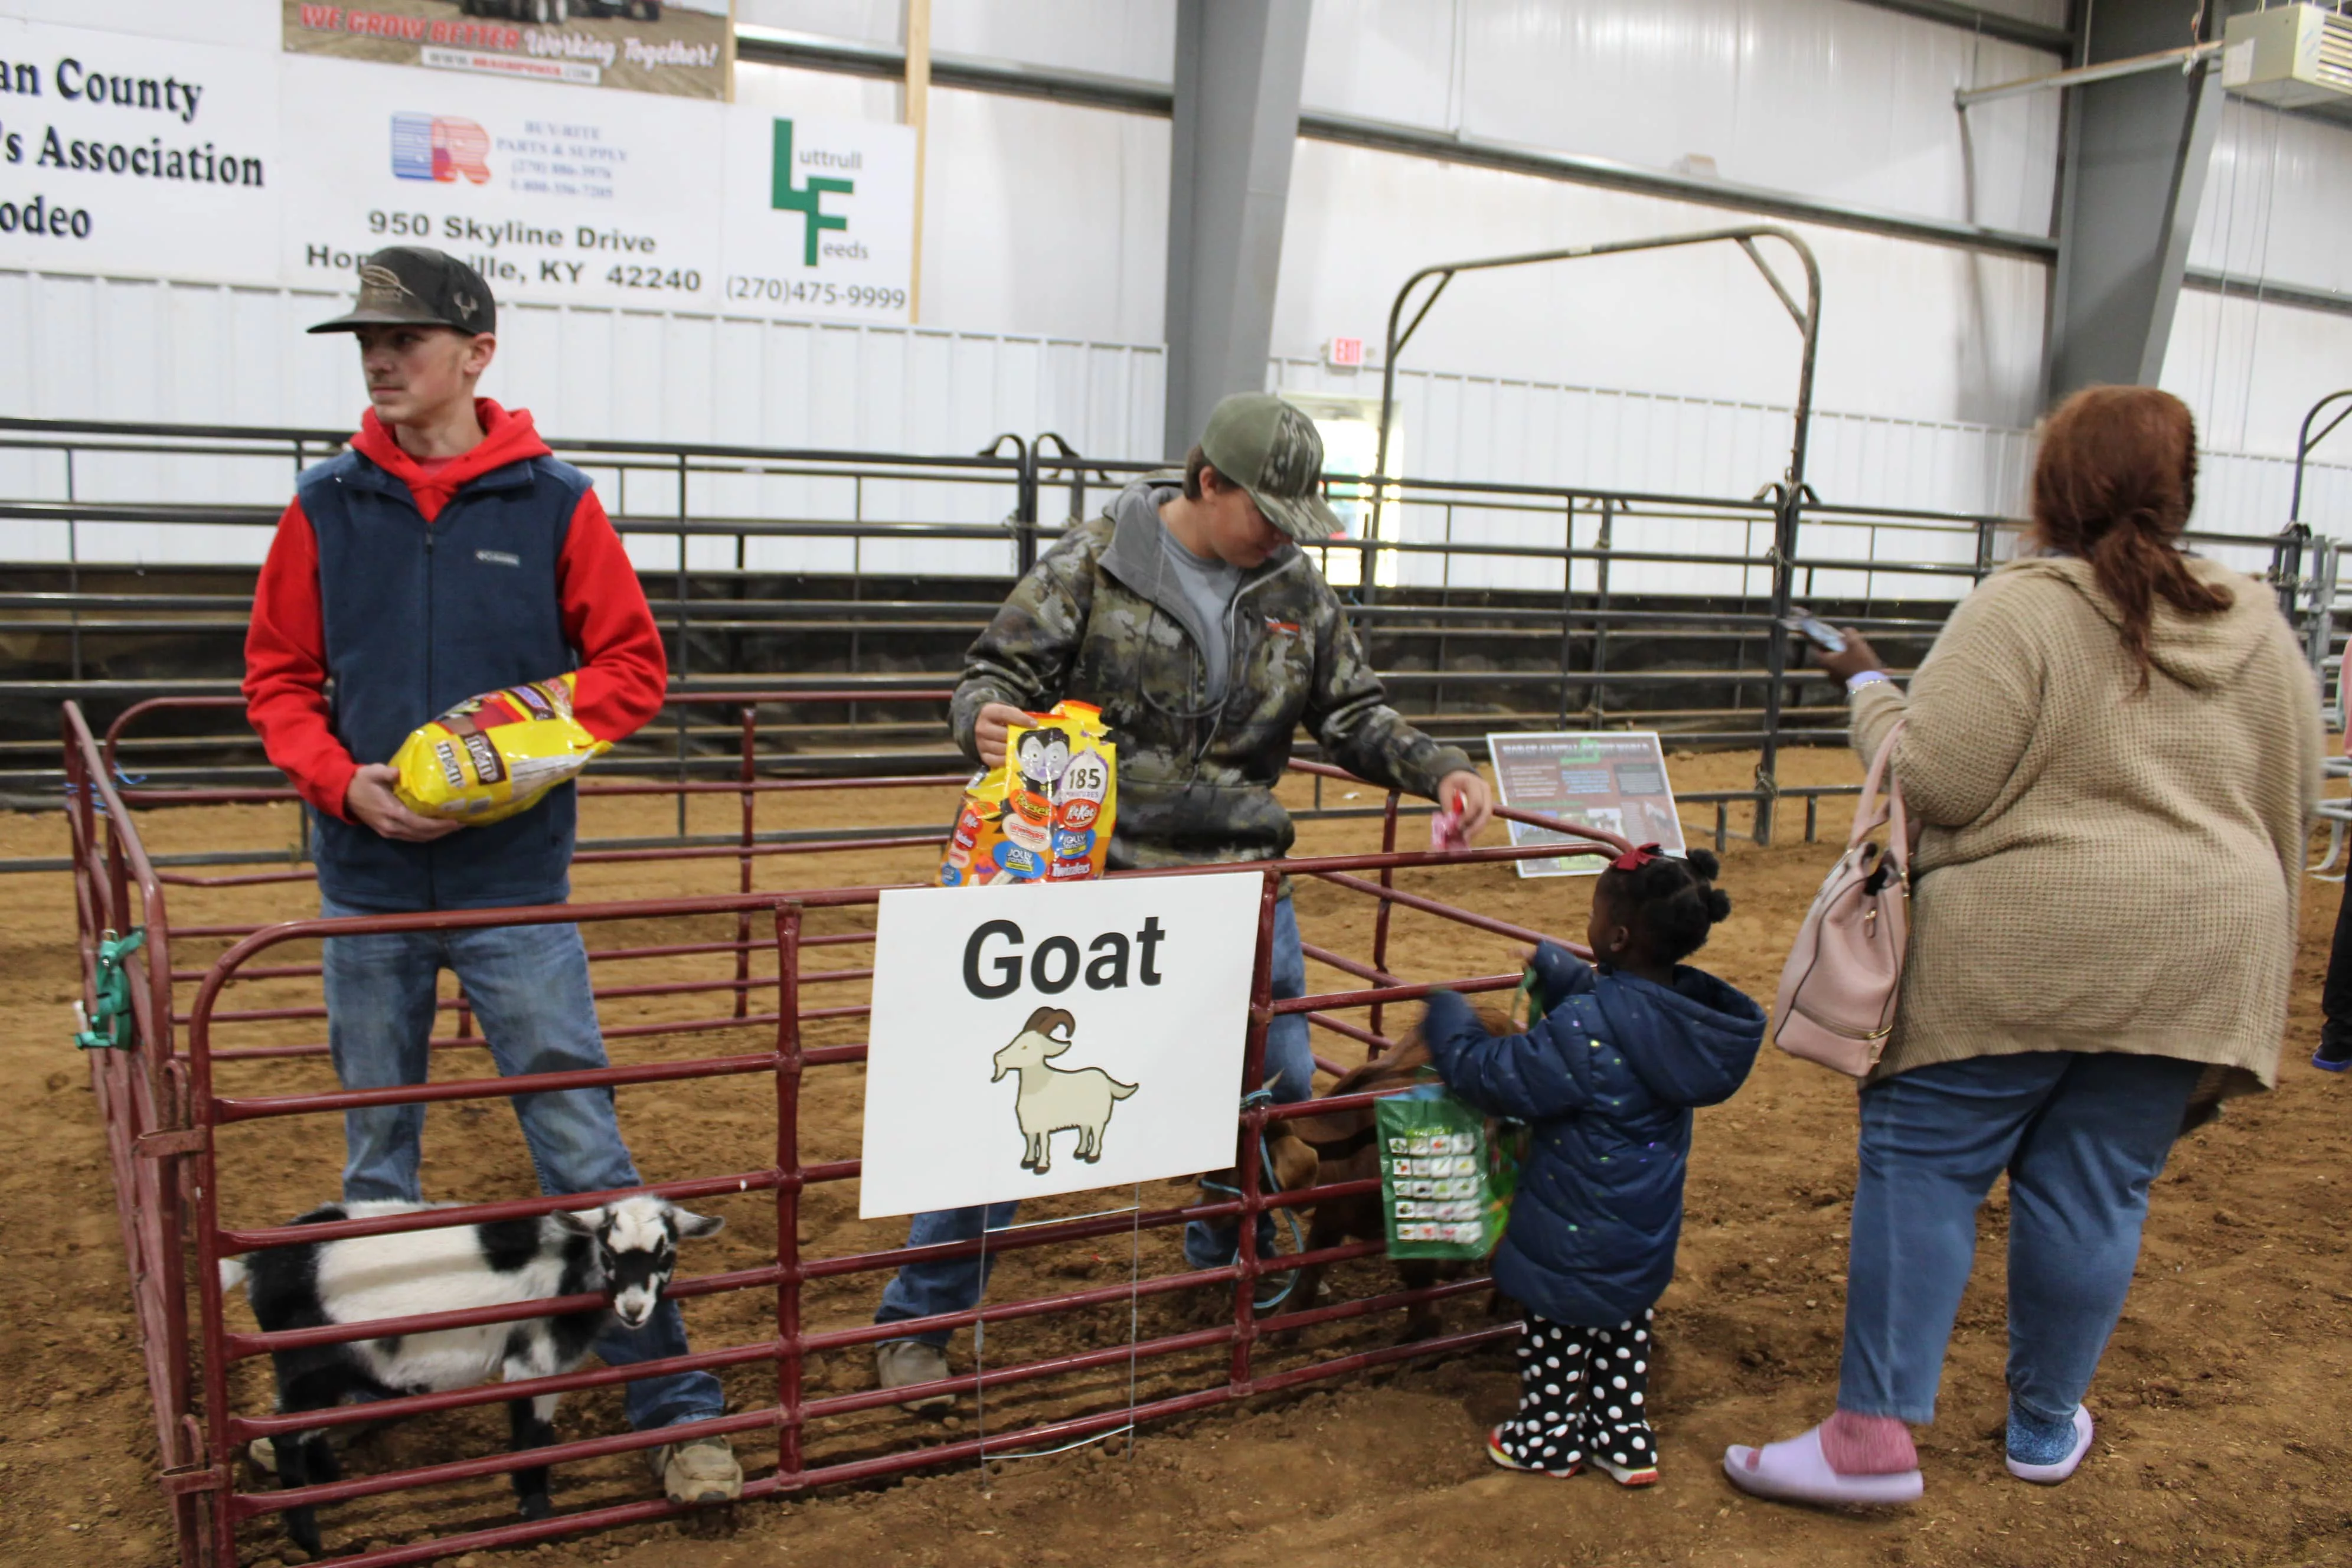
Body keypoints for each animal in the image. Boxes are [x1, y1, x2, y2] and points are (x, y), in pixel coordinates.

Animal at [221, 1194, 720, 1551]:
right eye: (609, 1253)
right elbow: (532, 1439)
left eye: (666, 1254)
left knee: (306, 1429)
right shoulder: (536, 1361)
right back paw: (308, 1537)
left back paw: (331, 1487)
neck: (570, 1265)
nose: (634, 1310)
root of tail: (257, 1263)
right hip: (307, 1365)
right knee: (288, 1435)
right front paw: (538, 1516)